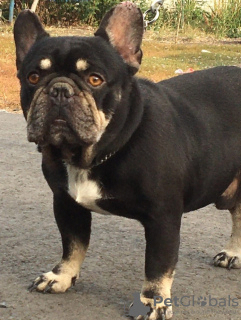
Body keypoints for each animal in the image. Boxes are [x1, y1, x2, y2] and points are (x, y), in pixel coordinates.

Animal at [13, 3, 241, 320]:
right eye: (33, 77)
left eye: (95, 79)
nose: (59, 89)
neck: (91, 156)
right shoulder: (66, 204)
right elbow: (72, 245)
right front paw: (61, 276)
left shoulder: (163, 219)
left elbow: (158, 265)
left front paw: (153, 302)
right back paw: (233, 253)